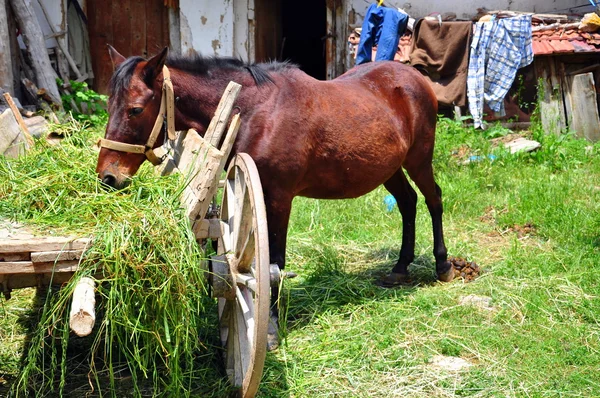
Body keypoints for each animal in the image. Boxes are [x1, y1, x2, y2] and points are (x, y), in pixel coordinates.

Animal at [96, 45, 454, 346]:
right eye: (109, 105)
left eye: (135, 109)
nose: (108, 177)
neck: (255, 110)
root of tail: (414, 78)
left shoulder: (278, 198)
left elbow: (273, 264)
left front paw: (269, 326)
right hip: (390, 169)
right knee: (408, 203)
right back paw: (401, 266)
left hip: (419, 160)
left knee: (433, 200)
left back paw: (443, 264)